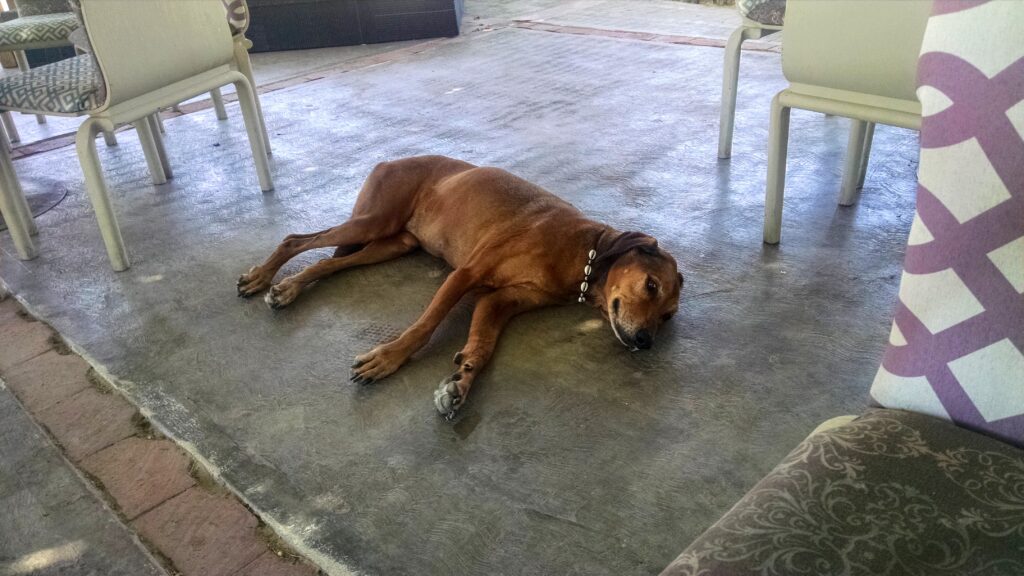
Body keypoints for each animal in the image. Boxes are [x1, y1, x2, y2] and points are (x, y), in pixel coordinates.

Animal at [236, 154, 684, 416]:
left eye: (667, 316)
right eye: (650, 286)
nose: (645, 341)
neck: (582, 253)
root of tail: (391, 160)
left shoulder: (498, 302)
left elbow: (481, 348)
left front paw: (460, 384)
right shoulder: (465, 275)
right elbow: (425, 325)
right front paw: (388, 358)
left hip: (393, 242)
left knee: (330, 263)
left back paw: (289, 288)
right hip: (374, 220)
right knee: (296, 238)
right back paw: (262, 277)